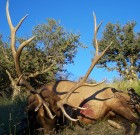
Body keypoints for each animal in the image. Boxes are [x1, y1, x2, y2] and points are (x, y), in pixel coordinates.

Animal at [5, 0, 140, 134]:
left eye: (58, 116)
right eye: (41, 114)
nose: (50, 132)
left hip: (116, 103)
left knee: (136, 120)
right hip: (114, 113)